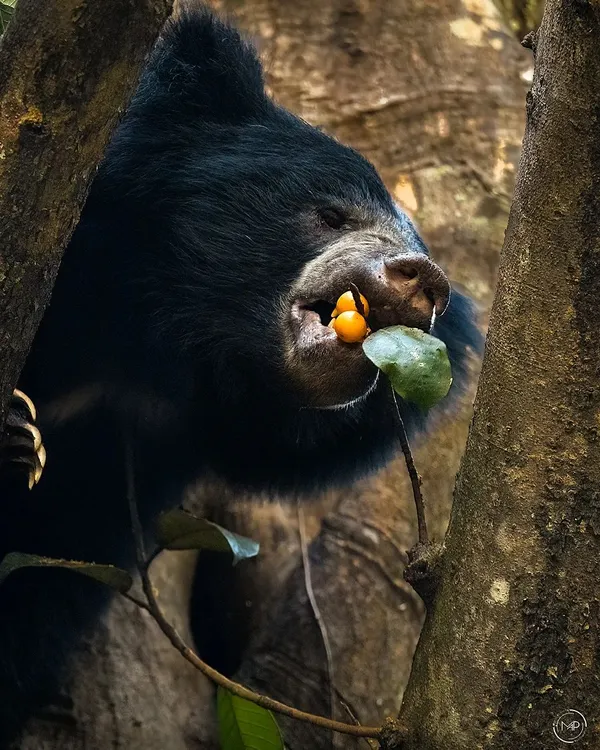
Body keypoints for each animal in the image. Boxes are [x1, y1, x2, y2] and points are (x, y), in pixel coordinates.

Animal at [0, 4, 480, 744]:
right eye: (329, 213)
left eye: (415, 250)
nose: (421, 279)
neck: (154, 331)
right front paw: (15, 432)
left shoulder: (131, 448)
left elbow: (48, 577)